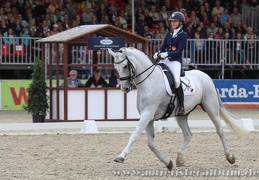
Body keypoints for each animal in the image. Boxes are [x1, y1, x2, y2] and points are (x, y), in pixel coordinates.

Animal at [107, 46, 248, 170]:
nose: (125, 88)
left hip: (211, 108)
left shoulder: (147, 114)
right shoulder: (148, 117)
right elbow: (151, 144)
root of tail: (205, 75)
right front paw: (168, 163)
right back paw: (179, 158)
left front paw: (120, 157)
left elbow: (134, 135)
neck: (149, 81)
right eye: (116, 67)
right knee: (188, 134)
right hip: (182, 115)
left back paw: (230, 157)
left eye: (125, 66)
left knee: (220, 130)